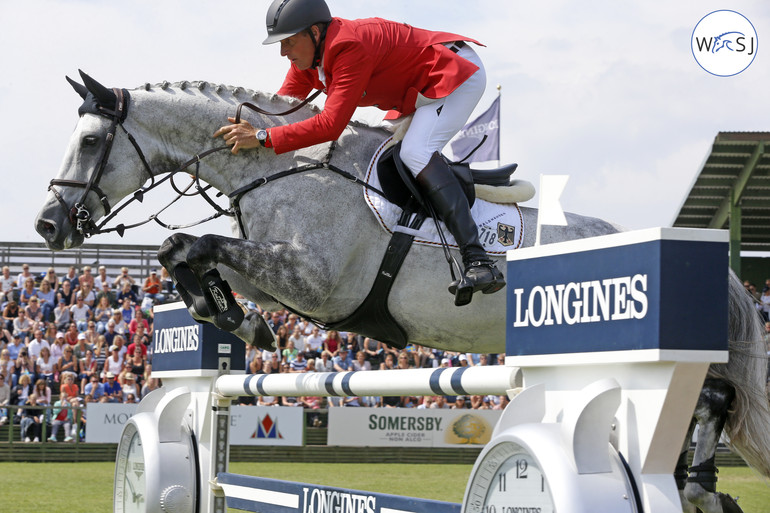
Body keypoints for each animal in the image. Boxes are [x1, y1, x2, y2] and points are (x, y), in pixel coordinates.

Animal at [36, 73, 768, 512]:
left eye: (92, 141)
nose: (48, 225)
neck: (281, 165)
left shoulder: (315, 282)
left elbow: (192, 244)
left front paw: (238, 321)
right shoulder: (281, 278)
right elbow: (183, 253)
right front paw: (232, 317)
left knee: (711, 397)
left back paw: (700, 487)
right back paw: (698, 487)